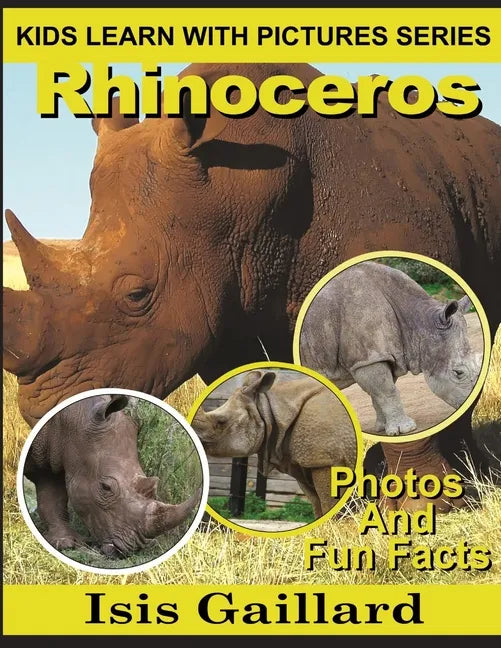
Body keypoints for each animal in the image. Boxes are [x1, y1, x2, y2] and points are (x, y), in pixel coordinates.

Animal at [24, 394, 201, 557]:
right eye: (105, 487)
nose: (132, 549)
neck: (72, 422)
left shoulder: (52, 458)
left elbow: (52, 497)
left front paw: (66, 542)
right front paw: (66, 544)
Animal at [192, 370, 358, 518]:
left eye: (221, 421)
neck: (269, 409)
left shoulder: (327, 461)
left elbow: (330, 506)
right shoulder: (307, 462)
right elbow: (318, 506)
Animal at [300, 261, 482, 436]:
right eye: (458, 373)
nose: (469, 403)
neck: (419, 322)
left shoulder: (383, 354)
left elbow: (379, 394)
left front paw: (382, 428)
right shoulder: (367, 359)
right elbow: (387, 391)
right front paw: (406, 430)